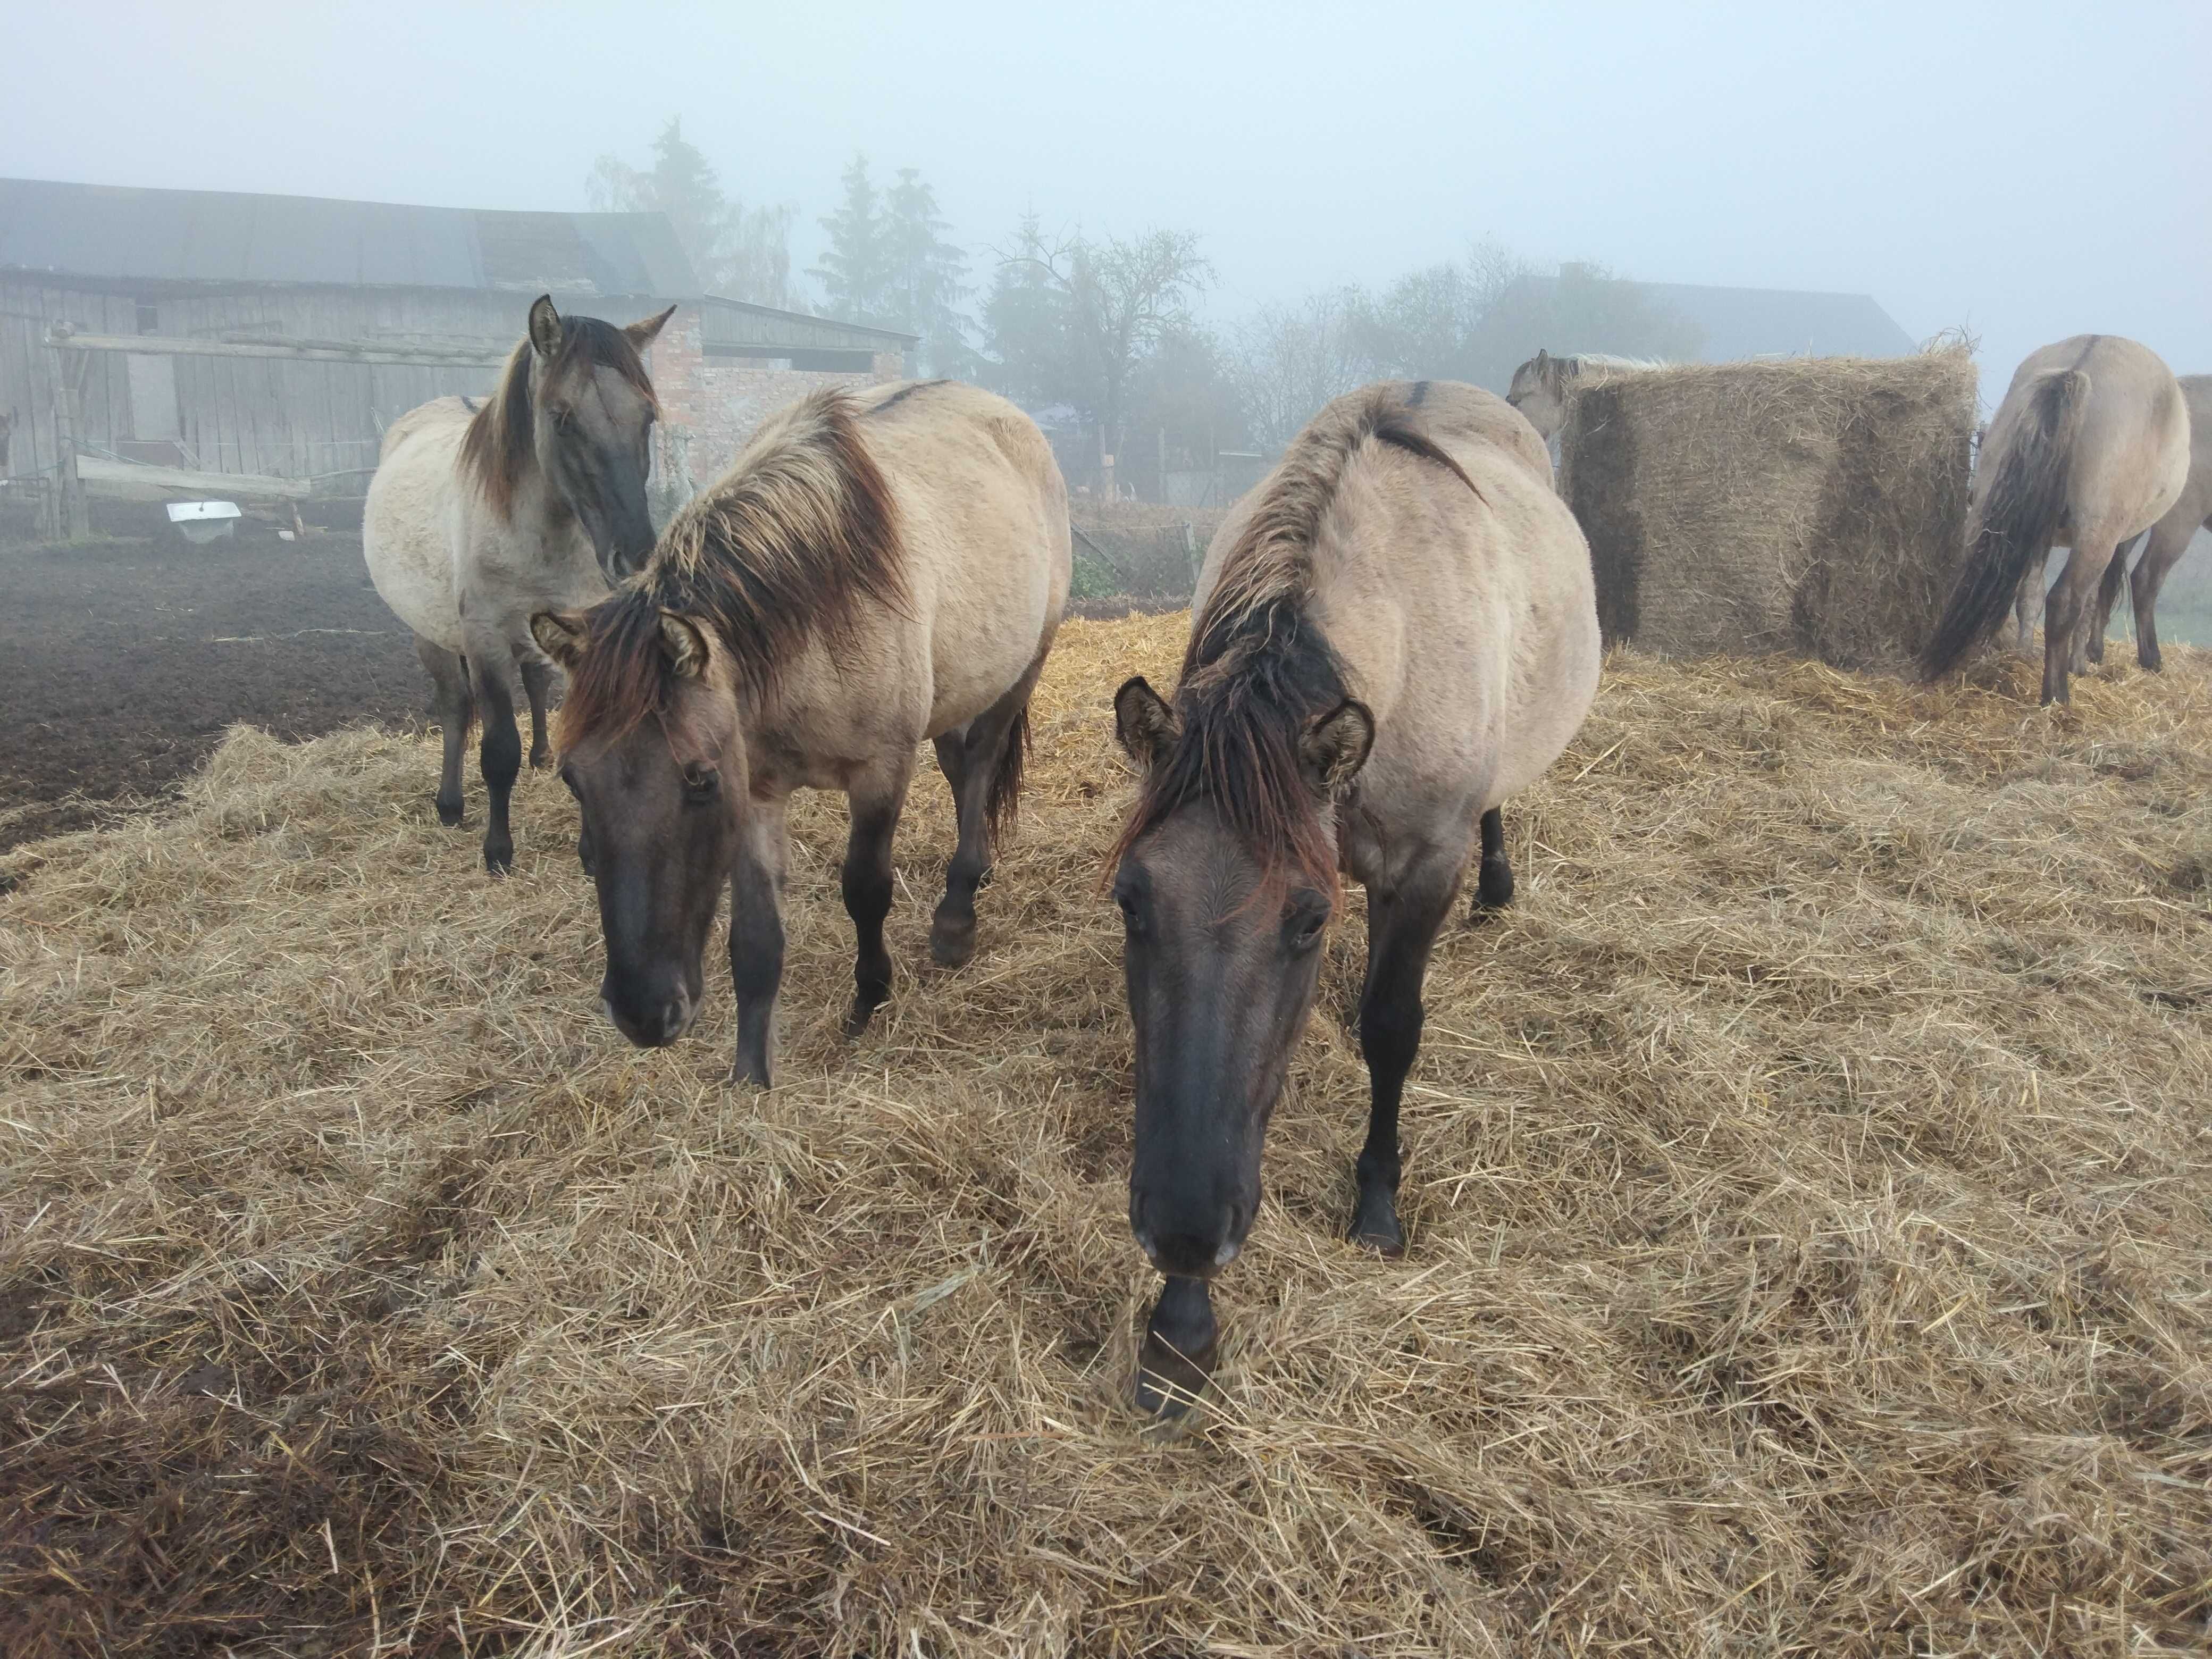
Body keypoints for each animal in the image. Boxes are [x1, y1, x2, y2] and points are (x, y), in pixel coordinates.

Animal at [363, 294, 668, 876]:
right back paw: (451, 804)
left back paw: (539, 755)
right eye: (562, 418)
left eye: (647, 417)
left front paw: (592, 852)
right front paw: (498, 851)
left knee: (533, 681)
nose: (635, 555)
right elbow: (498, 749)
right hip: (432, 634)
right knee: (456, 705)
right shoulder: (484, 640)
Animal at [526, 384, 1061, 1093]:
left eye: (700, 780)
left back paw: (956, 917)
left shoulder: (879, 772)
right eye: (571, 780)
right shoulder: (757, 790)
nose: (643, 1014)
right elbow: (755, 940)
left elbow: (865, 890)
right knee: (957, 763)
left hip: (1020, 671)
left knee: (979, 767)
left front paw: (869, 998)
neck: (815, 615)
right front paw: (751, 1075)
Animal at [1115, 380, 1601, 1415]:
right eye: (1132, 902)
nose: (1184, 1231)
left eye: (1308, 919)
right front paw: (1180, 1330)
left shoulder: (1420, 871)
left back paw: (1500, 887)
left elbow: (1391, 1027)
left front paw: (1377, 1202)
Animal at [1920, 334, 2194, 703]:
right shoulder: (2107, 540)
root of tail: (2078, 367)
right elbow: (2089, 603)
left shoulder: (2041, 534)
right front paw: (2078, 665)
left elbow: (2030, 596)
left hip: (1987, 516)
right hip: (2097, 537)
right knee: (2065, 602)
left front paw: (2023, 655)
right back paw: (2057, 695)